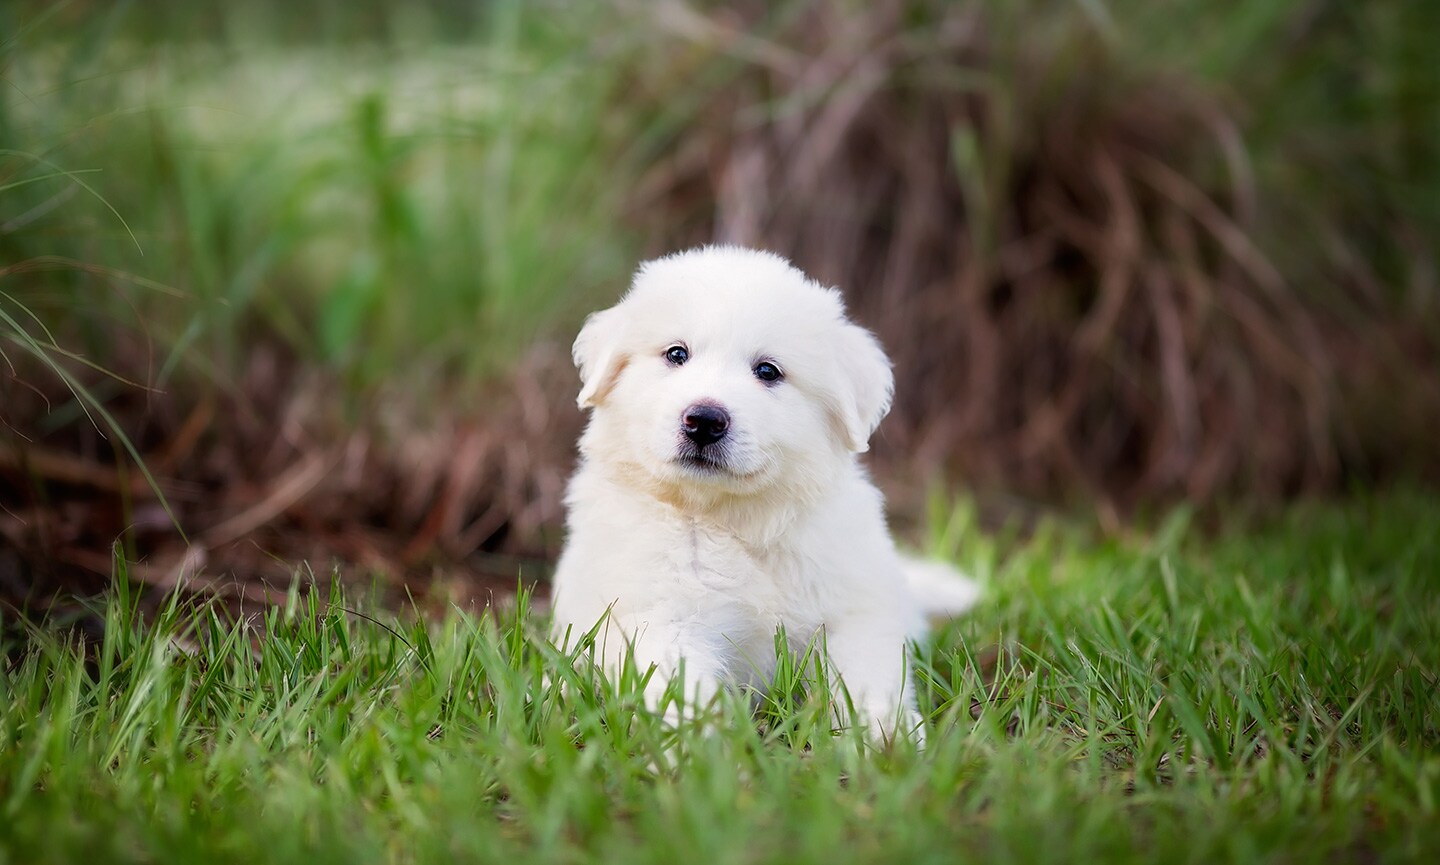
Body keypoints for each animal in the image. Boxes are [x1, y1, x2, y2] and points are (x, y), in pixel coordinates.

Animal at [550, 246, 979, 736]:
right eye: (676, 354)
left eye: (768, 371)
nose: (704, 420)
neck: (734, 521)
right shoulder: (659, 616)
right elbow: (681, 686)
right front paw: (702, 746)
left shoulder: (855, 611)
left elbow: (866, 680)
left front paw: (884, 739)